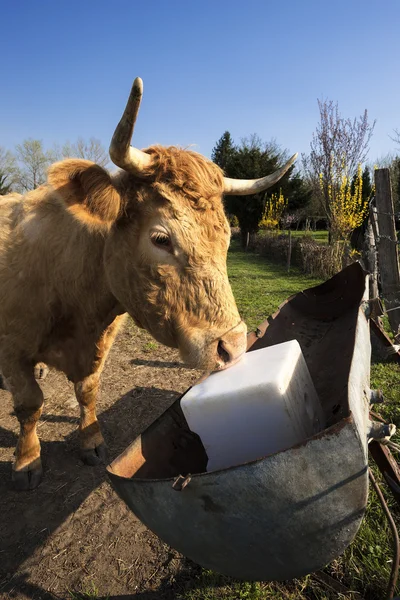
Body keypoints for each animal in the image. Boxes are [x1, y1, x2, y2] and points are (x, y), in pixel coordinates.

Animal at [0, 78, 296, 488]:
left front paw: (90, 440)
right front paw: (27, 462)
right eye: (160, 238)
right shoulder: (12, 349)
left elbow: (87, 390)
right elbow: (29, 404)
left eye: (226, 236)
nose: (234, 346)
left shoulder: (100, 341)